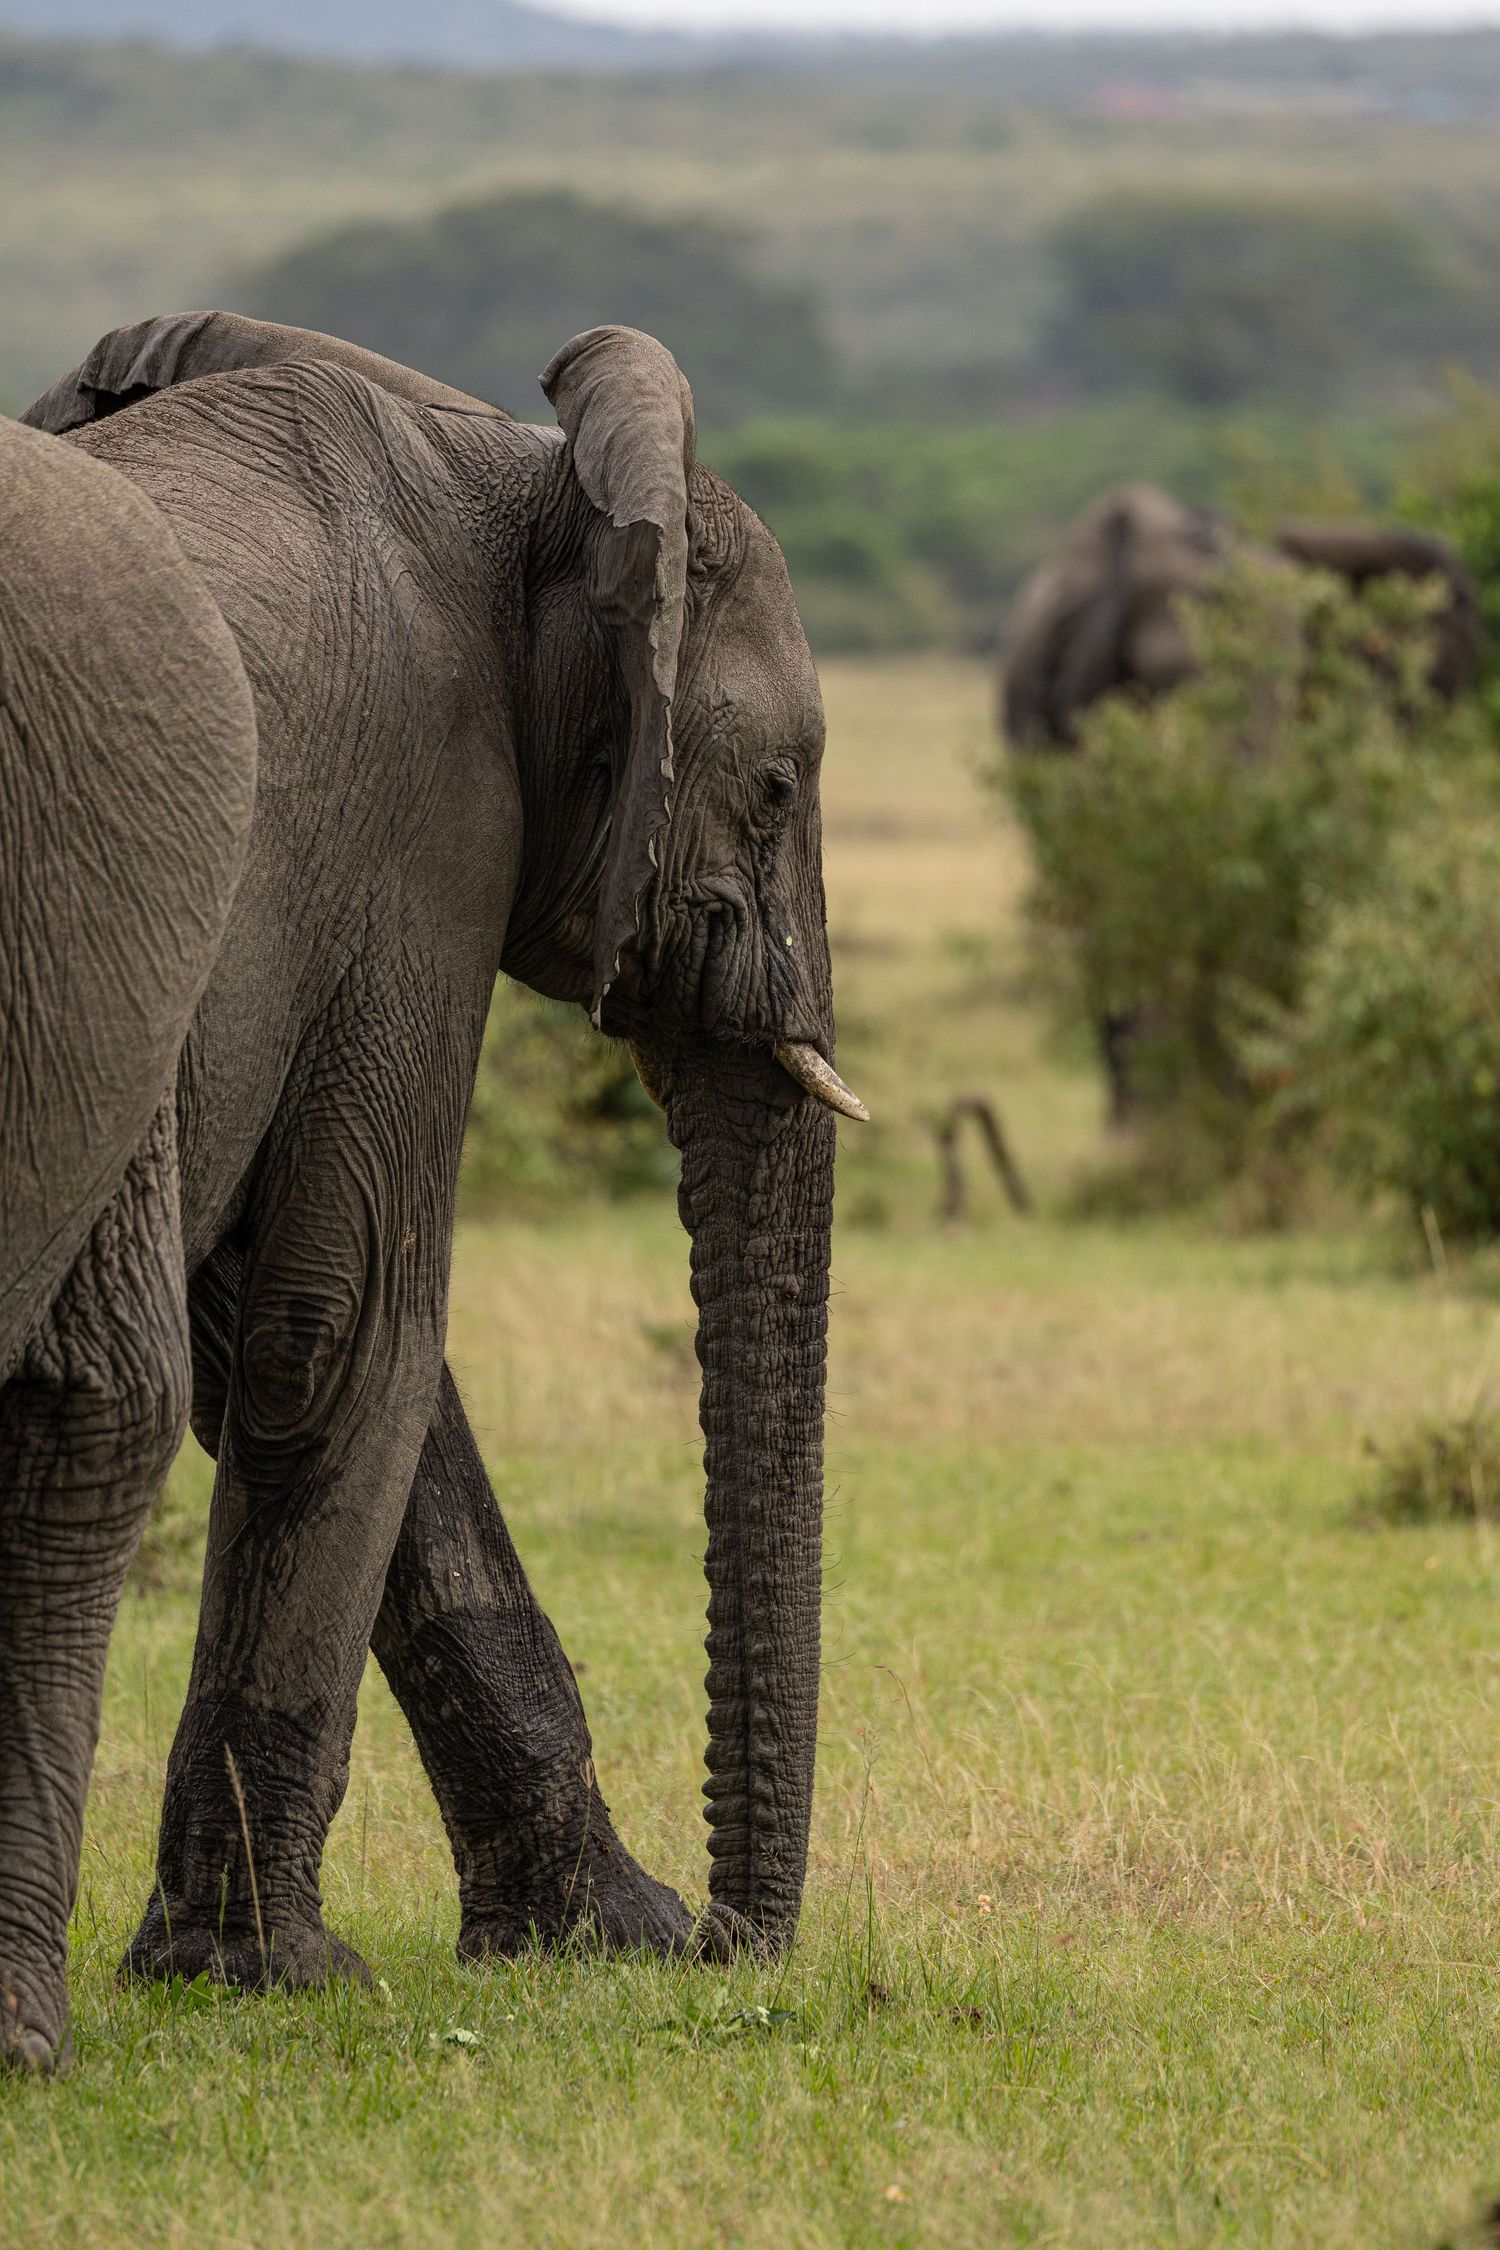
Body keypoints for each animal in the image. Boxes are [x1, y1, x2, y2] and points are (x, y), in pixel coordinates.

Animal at [5, 309, 866, 2073]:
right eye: (772, 791)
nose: (734, 1949)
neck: (520, 477)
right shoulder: (425, 826)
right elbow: (343, 1317)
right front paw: (270, 1972)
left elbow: (285, 1333)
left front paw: (598, 1934)